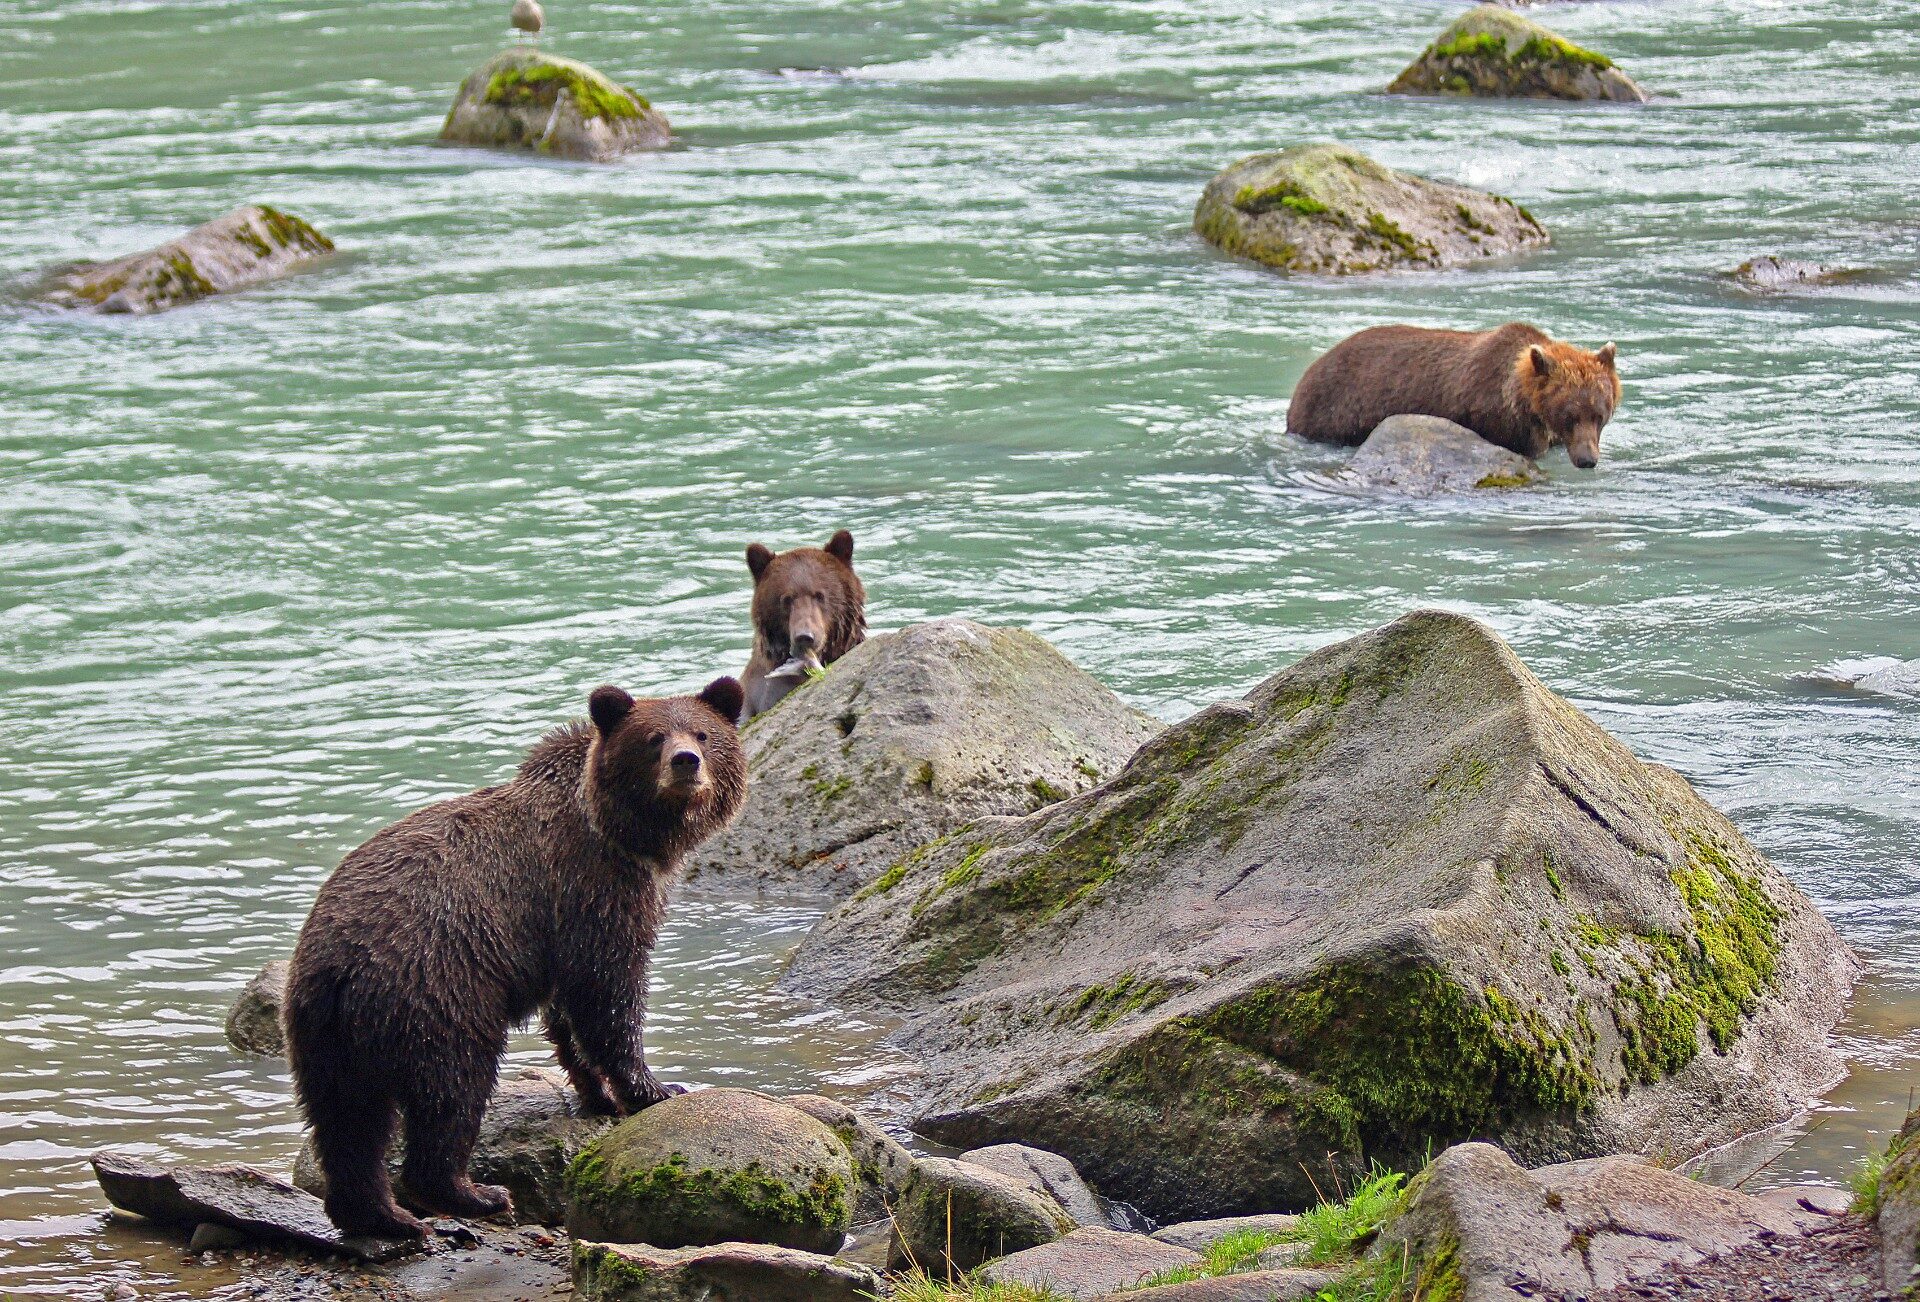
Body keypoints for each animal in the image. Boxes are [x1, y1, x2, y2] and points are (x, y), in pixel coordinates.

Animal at [284, 677, 747, 1239]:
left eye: (703, 733)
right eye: (654, 738)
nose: (686, 762)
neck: (625, 833)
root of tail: (338, 968)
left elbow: (568, 1013)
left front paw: (596, 1093)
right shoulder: (592, 889)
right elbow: (609, 993)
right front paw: (655, 1088)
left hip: (326, 1036)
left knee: (347, 1122)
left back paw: (382, 1217)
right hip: (439, 990)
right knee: (452, 1090)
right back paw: (471, 1193)